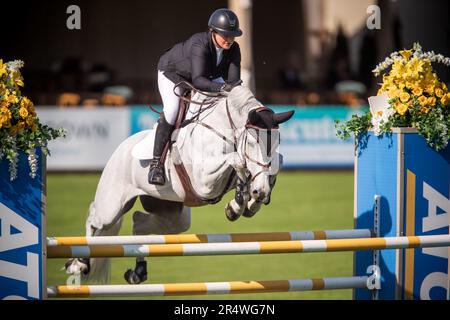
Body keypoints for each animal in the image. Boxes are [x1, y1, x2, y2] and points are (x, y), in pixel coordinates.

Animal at [65, 85, 294, 282]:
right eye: (254, 141)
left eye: (278, 141)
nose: (260, 192)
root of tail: (120, 149)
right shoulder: (204, 183)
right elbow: (238, 160)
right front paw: (237, 205)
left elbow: (275, 162)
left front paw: (250, 201)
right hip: (112, 206)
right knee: (94, 219)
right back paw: (79, 263)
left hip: (172, 214)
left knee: (139, 222)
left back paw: (137, 272)